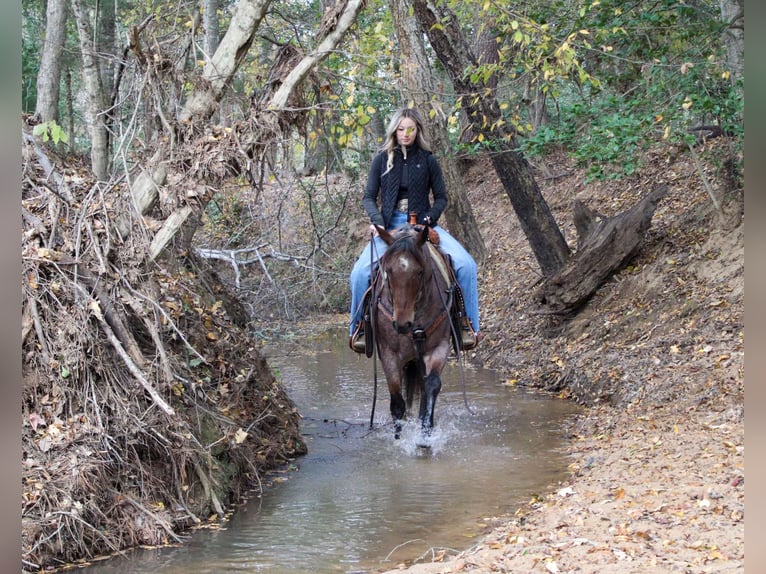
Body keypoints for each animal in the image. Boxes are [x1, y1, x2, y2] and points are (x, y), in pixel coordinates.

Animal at [370, 223, 455, 441]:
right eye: (388, 271)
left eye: (419, 272)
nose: (402, 324)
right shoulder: (389, 354)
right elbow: (397, 402)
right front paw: (398, 439)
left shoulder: (439, 347)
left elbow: (431, 386)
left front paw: (425, 436)